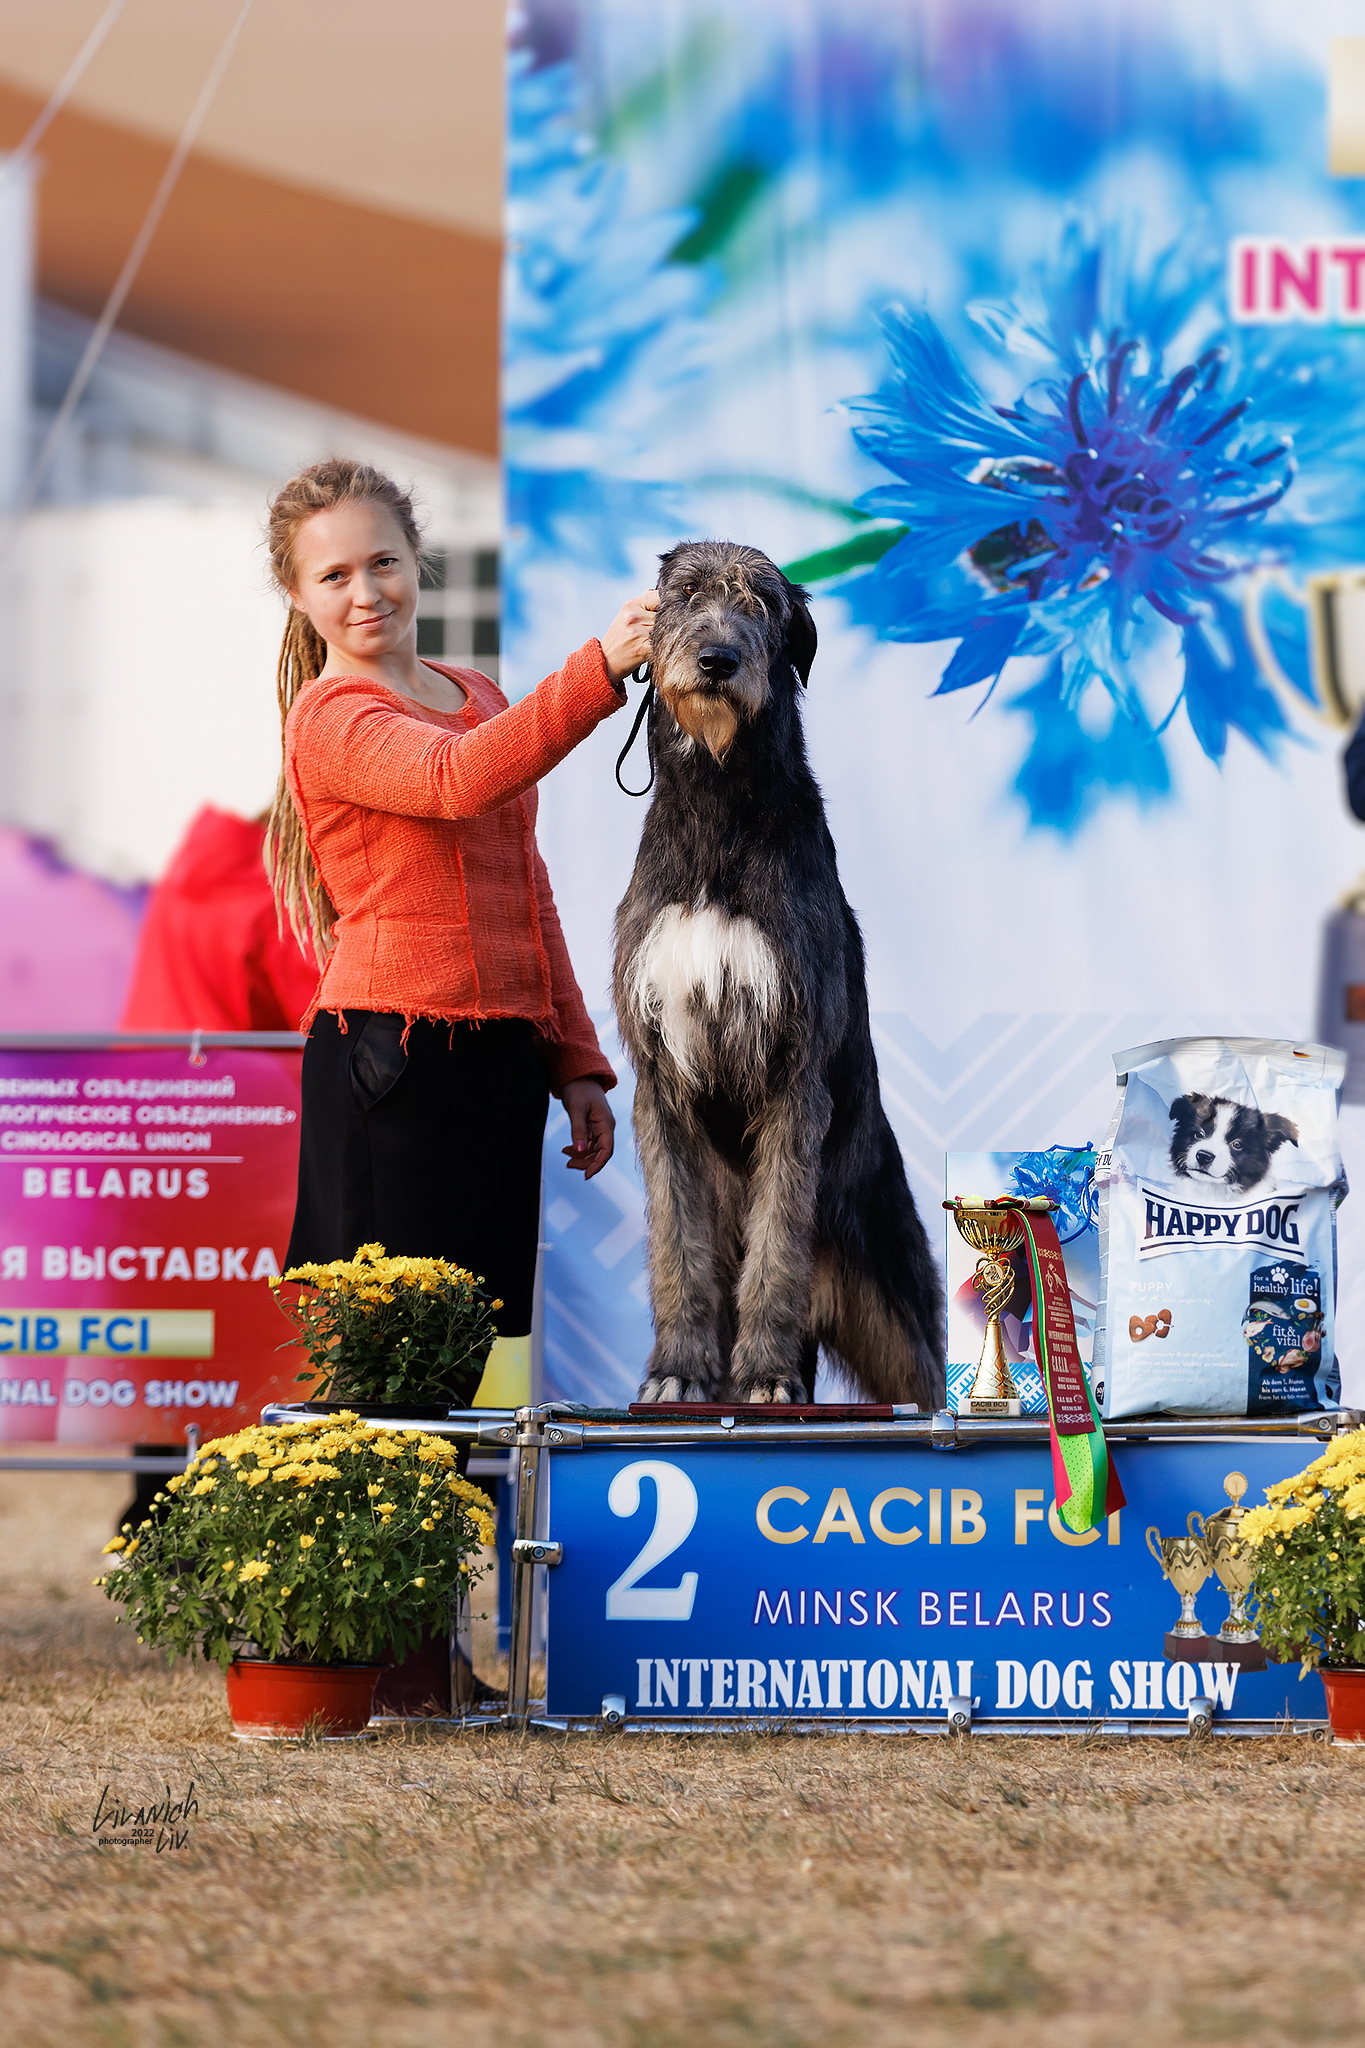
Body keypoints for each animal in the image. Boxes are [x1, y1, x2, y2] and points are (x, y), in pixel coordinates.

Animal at [613, 540, 945, 1409]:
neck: (719, 807)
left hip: (893, 1299)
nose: (716, 660)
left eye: (761, 605)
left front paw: (761, 1374)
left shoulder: (793, 1067)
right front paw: (677, 1368)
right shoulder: (660, 1078)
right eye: (685, 594)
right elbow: (677, 1243)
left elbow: (776, 1238)